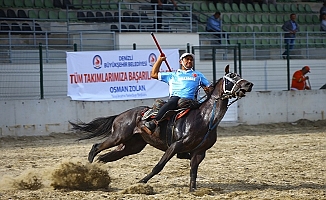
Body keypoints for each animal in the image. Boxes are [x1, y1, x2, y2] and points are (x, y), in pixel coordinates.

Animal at [70, 65, 255, 191]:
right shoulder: (175, 146)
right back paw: (88, 168)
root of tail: (121, 115)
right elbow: (159, 166)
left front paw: (192, 189)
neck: (205, 119)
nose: (249, 84)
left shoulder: (199, 152)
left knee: (104, 157)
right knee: (96, 147)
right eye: (232, 76)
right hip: (119, 136)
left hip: (131, 147)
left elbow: (193, 172)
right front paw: (142, 181)